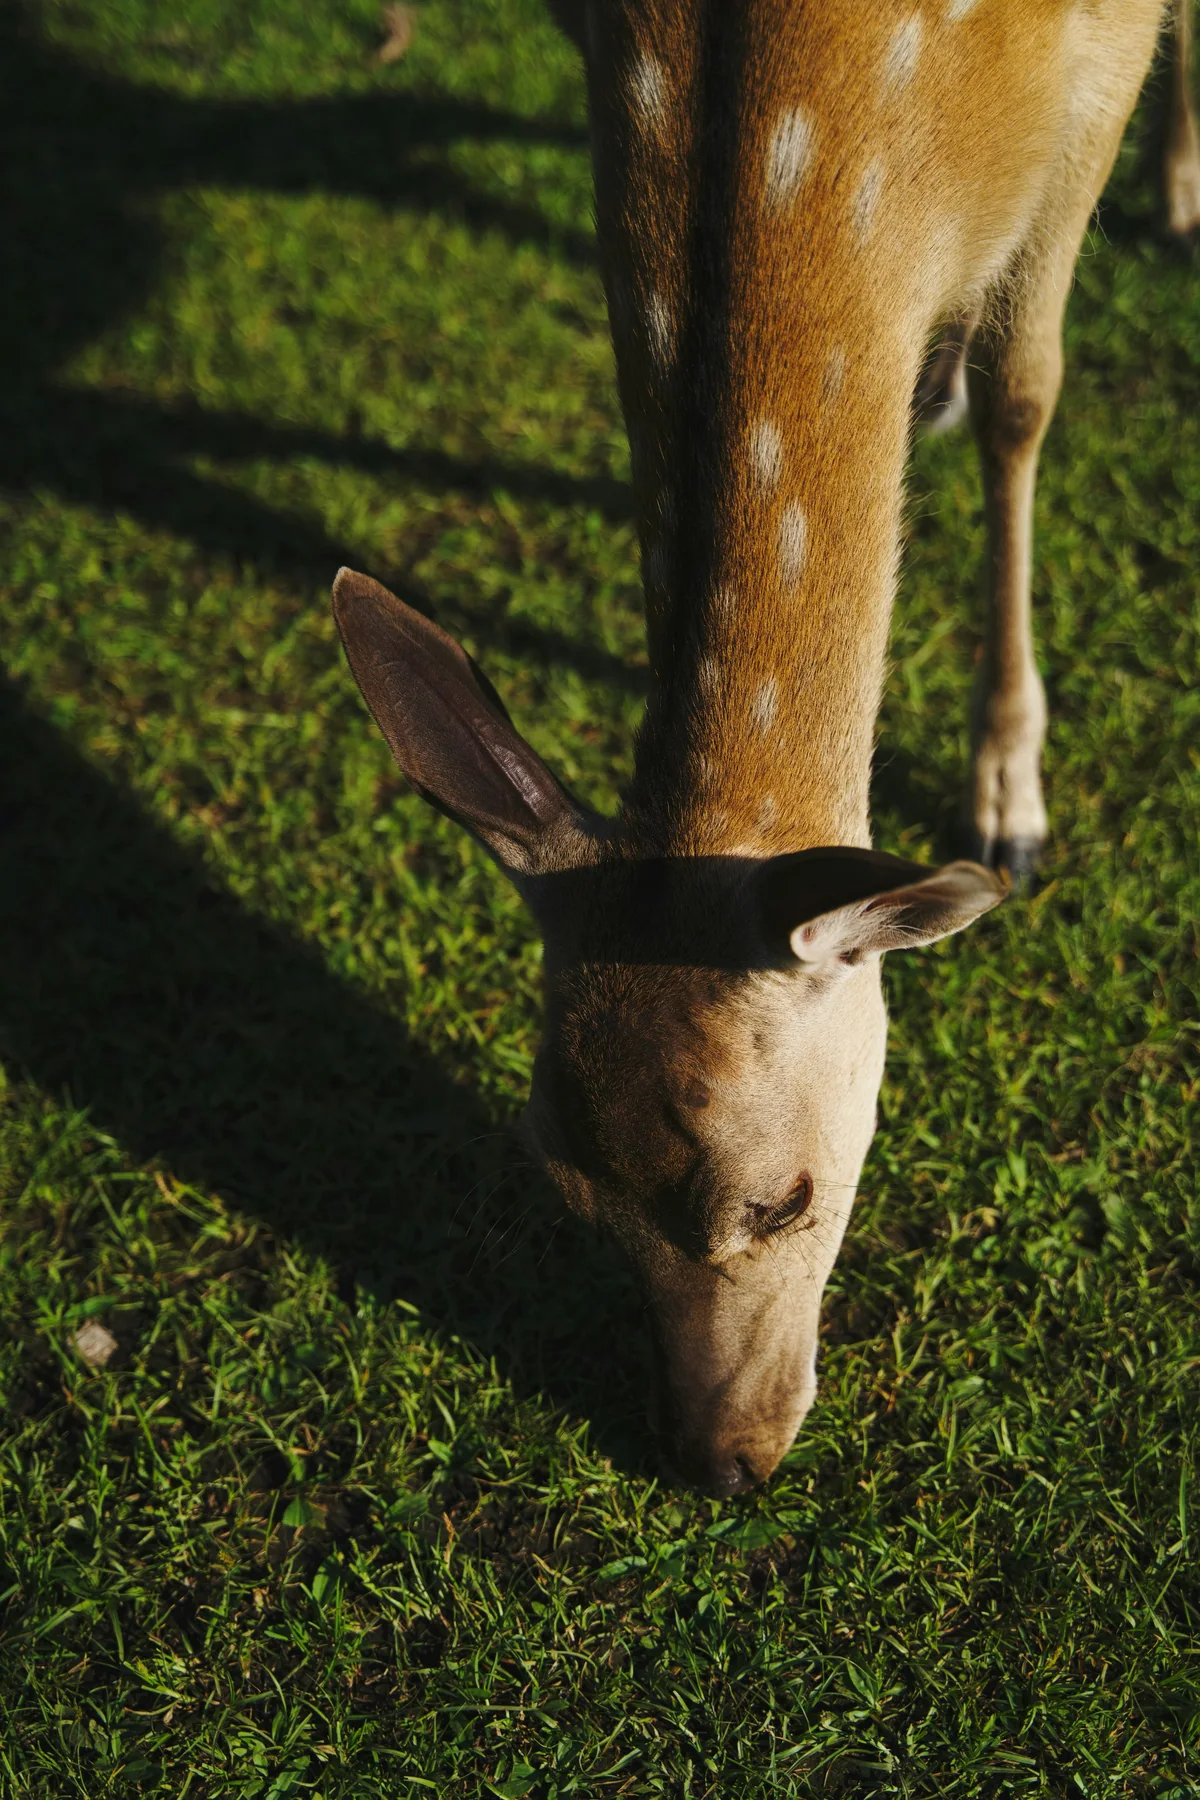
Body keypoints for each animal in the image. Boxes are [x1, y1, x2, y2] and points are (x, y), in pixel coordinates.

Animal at [331, 0, 1198, 1495]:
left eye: (784, 1198)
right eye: (565, 1178)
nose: (720, 1459)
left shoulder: (1101, 71)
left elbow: (1027, 395)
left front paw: (1010, 794)